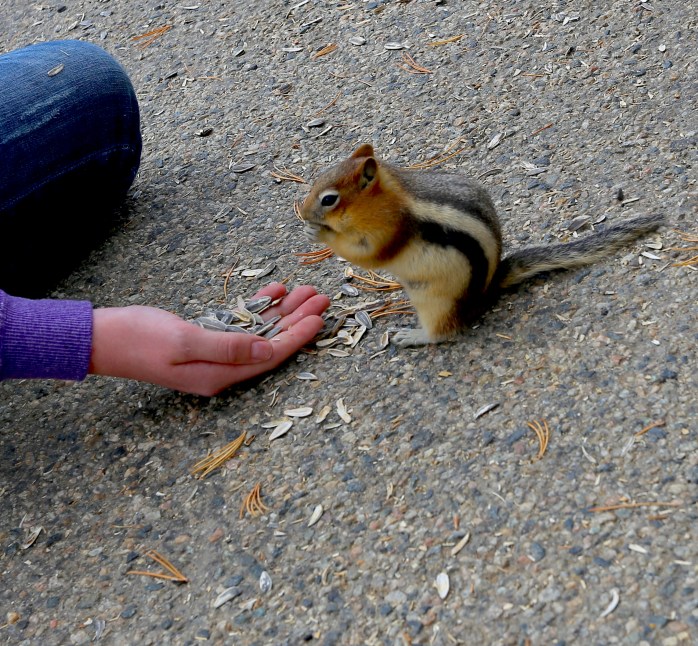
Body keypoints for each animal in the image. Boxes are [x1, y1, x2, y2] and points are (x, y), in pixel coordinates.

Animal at [300, 144, 664, 347]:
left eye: (329, 199)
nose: (302, 211)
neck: (390, 195)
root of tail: (485, 292)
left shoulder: (391, 229)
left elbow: (370, 255)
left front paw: (321, 234)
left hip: (435, 301)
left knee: (444, 332)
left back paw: (414, 336)